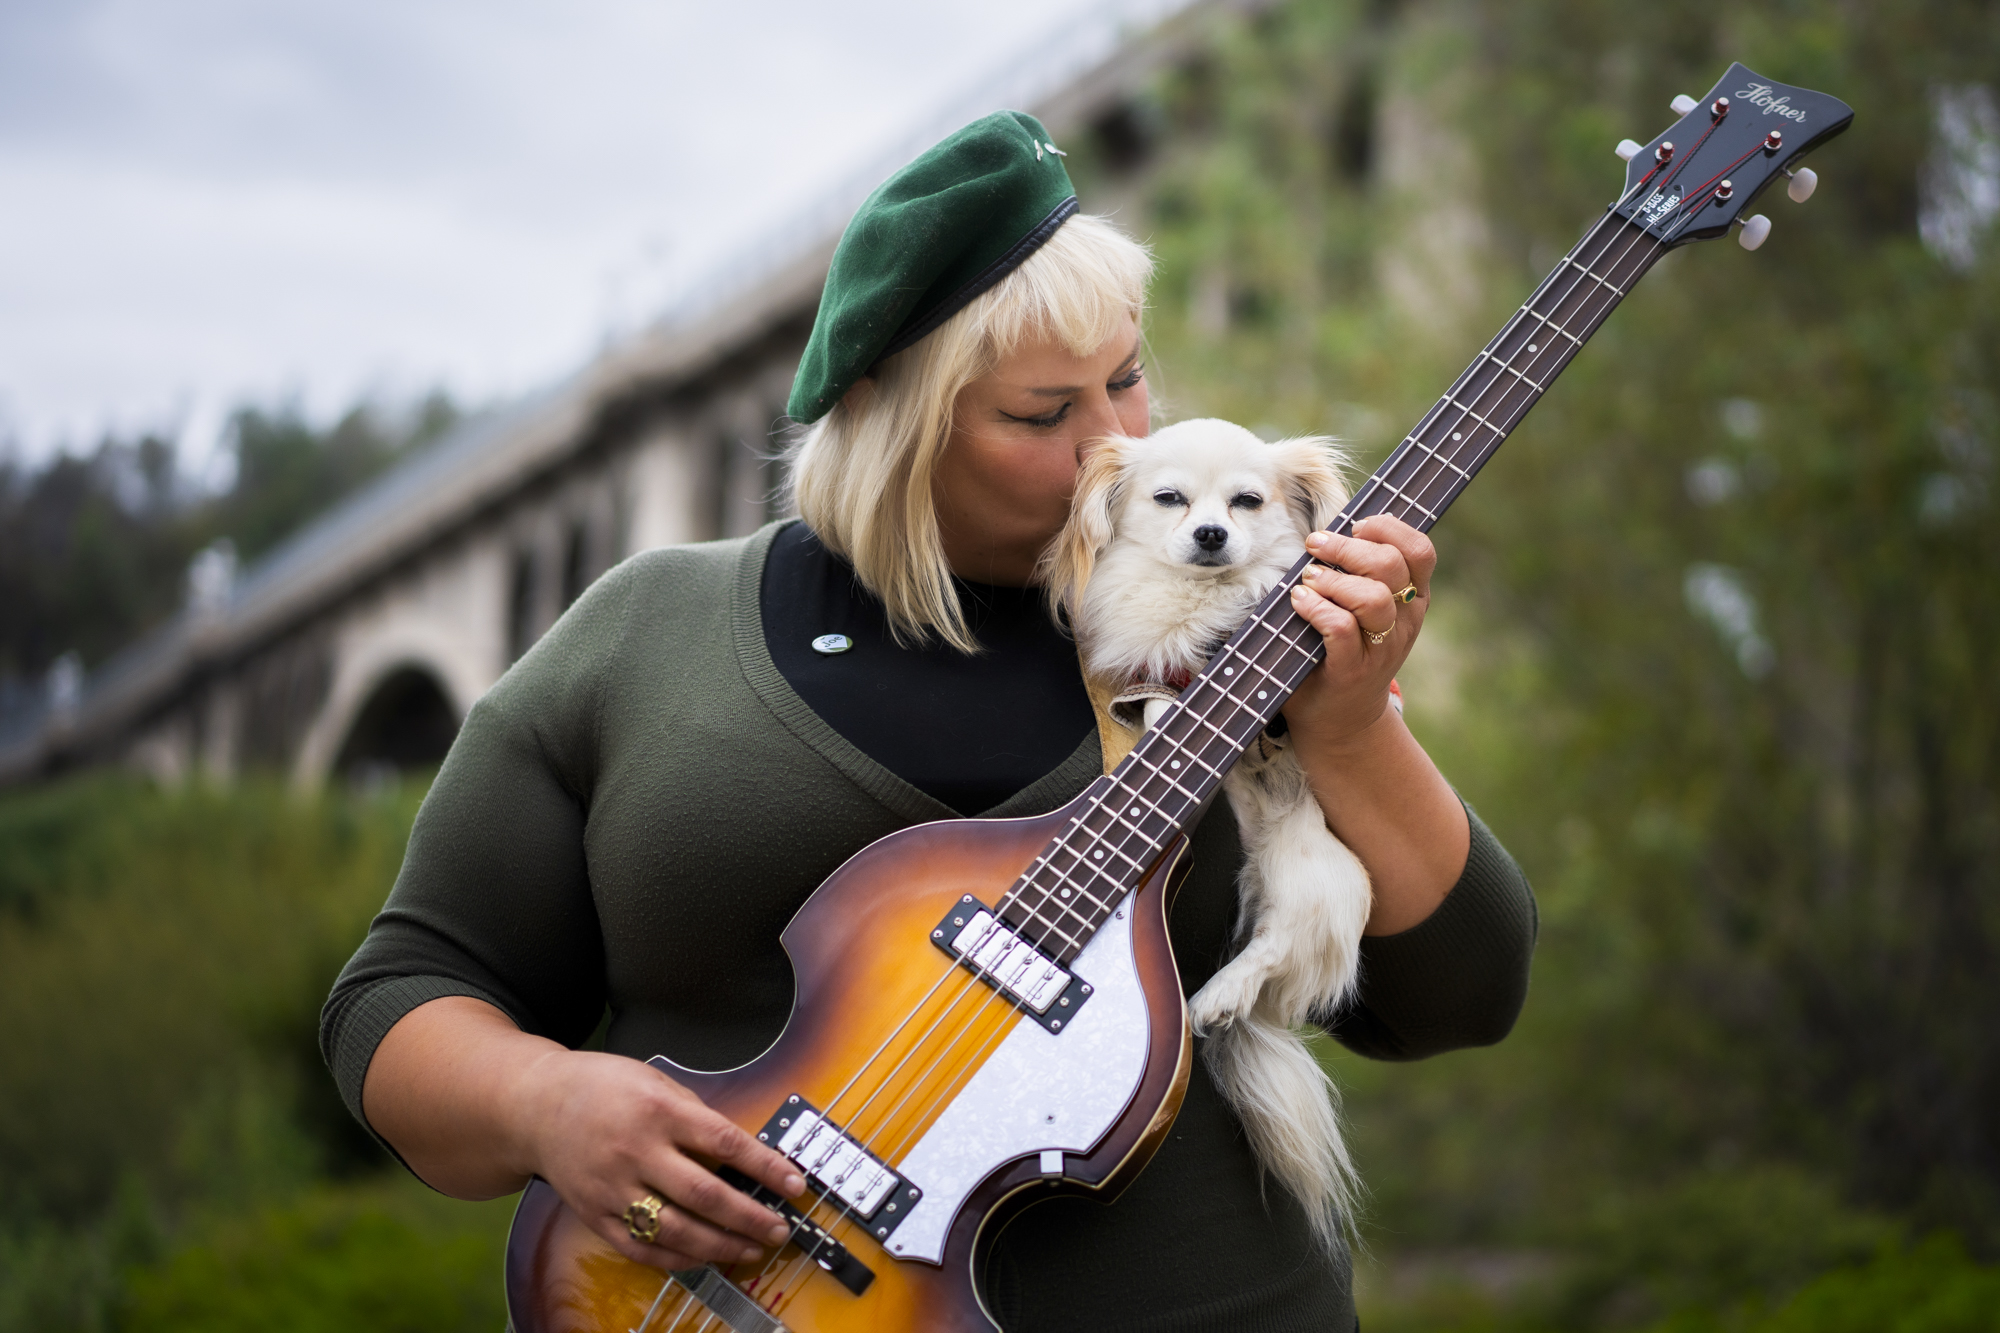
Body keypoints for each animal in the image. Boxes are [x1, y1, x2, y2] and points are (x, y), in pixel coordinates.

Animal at [1048, 418, 1376, 1248]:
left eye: (1246, 502)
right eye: (1170, 498)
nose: (1210, 533)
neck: (1195, 601)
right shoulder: (1146, 670)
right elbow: (1160, 694)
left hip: (1304, 872)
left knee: (1272, 946)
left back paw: (1221, 994)